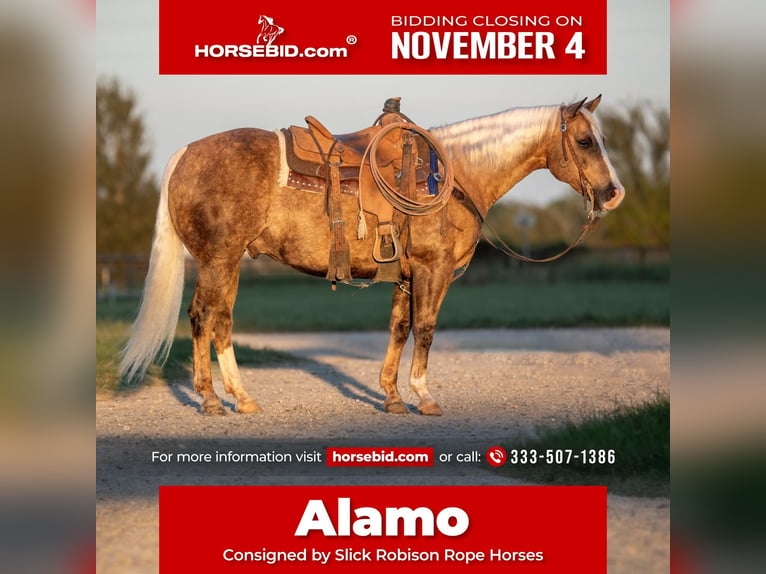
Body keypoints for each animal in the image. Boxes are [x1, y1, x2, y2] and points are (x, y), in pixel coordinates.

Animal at [118, 94, 624, 418]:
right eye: (585, 141)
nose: (613, 193)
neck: (454, 178)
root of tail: (186, 153)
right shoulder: (433, 270)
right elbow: (425, 329)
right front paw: (424, 396)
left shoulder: (405, 275)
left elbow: (399, 328)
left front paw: (392, 397)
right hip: (217, 259)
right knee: (204, 317)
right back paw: (210, 400)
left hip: (227, 262)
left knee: (220, 320)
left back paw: (241, 399)